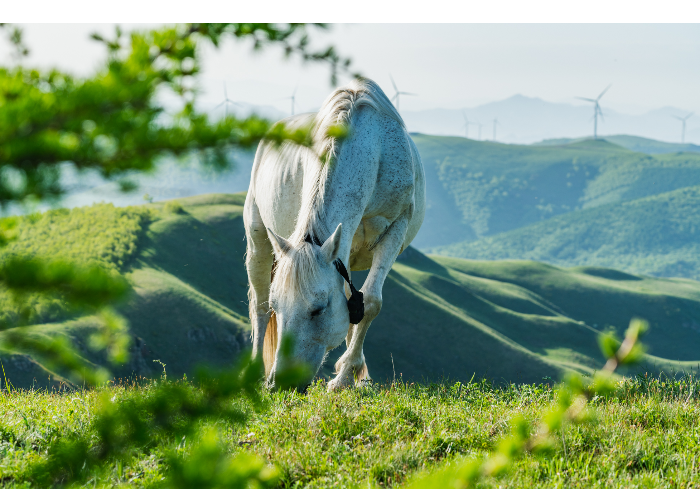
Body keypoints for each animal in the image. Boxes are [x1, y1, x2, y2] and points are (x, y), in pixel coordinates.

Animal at [243, 77, 424, 388]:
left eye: (318, 309)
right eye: (280, 307)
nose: (281, 383)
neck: (373, 148)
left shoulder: (395, 229)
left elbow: (368, 301)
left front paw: (346, 375)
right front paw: (347, 374)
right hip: (258, 242)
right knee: (258, 306)